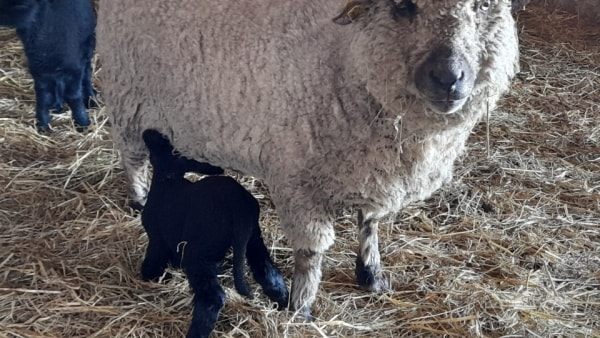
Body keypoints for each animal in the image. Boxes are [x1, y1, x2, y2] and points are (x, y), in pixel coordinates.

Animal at [0, 0, 97, 131]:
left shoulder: (74, 69)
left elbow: (74, 96)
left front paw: (82, 122)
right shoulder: (39, 72)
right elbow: (43, 97)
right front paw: (42, 124)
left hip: (88, 44)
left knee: (87, 73)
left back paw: (91, 98)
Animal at [142, 129, 290, 338]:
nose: (149, 132)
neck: (168, 180)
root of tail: (239, 208)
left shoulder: (157, 240)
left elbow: (153, 263)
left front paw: (150, 277)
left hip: (198, 253)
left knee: (213, 298)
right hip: (254, 239)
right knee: (271, 276)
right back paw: (290, 310)